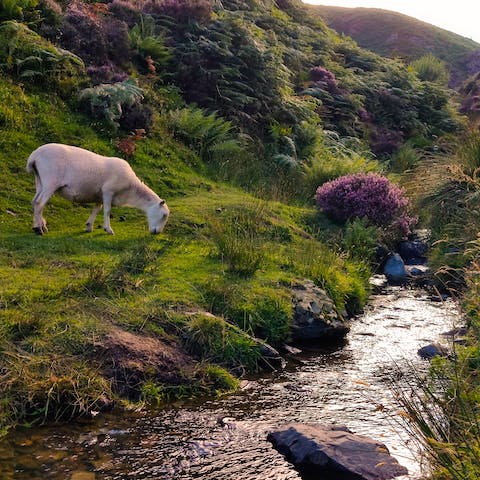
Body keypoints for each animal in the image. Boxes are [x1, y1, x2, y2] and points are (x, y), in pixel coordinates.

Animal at [25, 143, 171, 235]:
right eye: (164, 215)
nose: (157, 233)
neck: (131, 190)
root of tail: (34, 155)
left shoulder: (99, 195)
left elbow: (97, 209)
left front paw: (89, 226)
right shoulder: (108, 191)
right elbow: (107, 210)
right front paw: (108, 230)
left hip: (40, 180)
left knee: (35, 201)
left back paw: (40, 226)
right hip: (50, 180)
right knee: (39, 203)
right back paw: (39, 230)